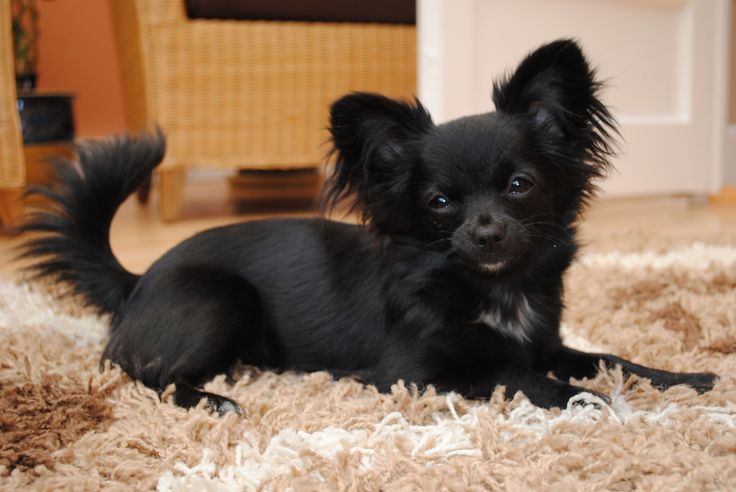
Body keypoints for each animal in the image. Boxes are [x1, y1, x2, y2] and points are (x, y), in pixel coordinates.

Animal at [21, 40, 712, 414]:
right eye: (439, 202)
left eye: (519, 185)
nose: (486, 234)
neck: (494, 288)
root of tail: (138, 279)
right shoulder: (417, 373)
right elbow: (515, 376)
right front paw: (590, 401)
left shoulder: (546, 343)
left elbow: (607, 357)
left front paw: (684, 379)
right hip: (220, 299)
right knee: (144, 373)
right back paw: (216, 399)